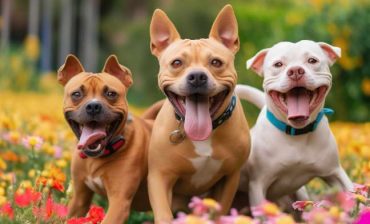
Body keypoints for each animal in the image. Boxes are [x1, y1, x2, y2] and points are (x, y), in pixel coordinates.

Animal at [147, 4, 251, 223]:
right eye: (177, 63)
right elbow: (163, 214)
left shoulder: (229, 178)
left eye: (216, 62)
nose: (197, 76)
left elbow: (218, 211)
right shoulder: (160, 177)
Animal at [236, 40, 354, 208]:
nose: (296, 71)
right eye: (278, 64)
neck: (296, 133)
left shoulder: (334, 172)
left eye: (312, 60)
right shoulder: (258, 185)